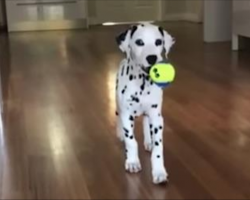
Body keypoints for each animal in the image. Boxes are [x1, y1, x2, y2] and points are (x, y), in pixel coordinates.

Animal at [114, 22, 174, 184]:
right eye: (139, 42)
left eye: (158, 42)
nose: (152, 57)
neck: (142, 82)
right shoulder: (127, 115)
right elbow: (131, 142)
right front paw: (132, 162)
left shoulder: (157, 117)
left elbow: (158, 147)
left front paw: (159, 171)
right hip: (118, 106)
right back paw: (120, 133)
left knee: (146, 123)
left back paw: (148, 141)